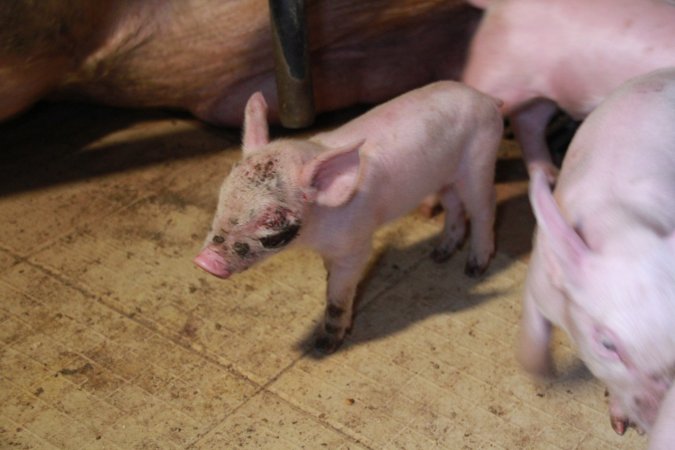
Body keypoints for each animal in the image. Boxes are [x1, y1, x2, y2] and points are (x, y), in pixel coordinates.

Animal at [194, 81, 503, 352]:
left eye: (273, 227)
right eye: (221, 199)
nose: (204, 262)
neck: (316, 232)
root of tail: (487, 99)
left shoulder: (355, 245)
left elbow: (339, 296)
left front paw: (324, 346)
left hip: (480, 160)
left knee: (484, 208)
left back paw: (474, 269)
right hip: (444, 178)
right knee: (454, 206)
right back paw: (439, 255)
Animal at [519, 68, 675, 445]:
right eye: (607, 344)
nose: (658, 423)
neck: (620, 225)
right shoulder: (541, 274)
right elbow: (533, 324)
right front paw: (541, 372)